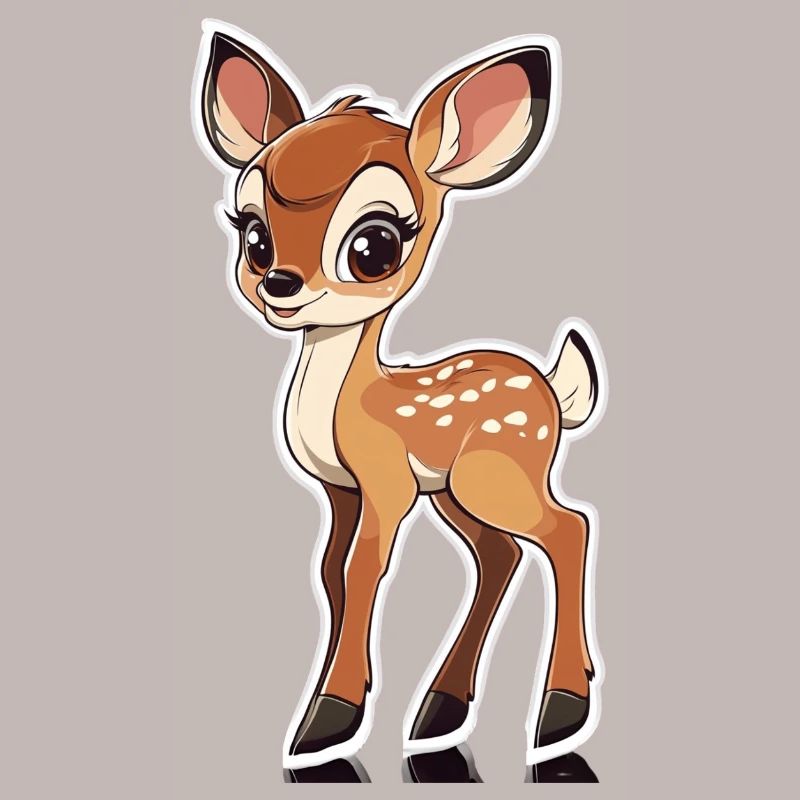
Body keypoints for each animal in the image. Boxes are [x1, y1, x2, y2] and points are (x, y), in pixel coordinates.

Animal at [194, 22, 605, 769]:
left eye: (375, 245)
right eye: (253, 235)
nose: (280, 285)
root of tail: (553, 393)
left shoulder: (384, 477)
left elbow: (364, 569)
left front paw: (329, 719)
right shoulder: (341, 487)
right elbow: (331, 571)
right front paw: (329, 704)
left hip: (496, 471)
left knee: (568, 528)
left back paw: (560, 714)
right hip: (454, 490)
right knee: (499, 554)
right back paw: (440, 713)